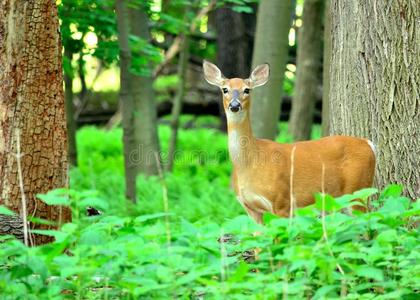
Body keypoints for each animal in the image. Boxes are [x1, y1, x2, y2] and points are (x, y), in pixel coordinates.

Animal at [202, 60, 376, 223]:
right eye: (225, 89)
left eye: (247, 89)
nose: (234, 105)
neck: (249, 163)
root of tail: (369, 144)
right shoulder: (250, 208)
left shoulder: (282, 201)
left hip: (358, 189)